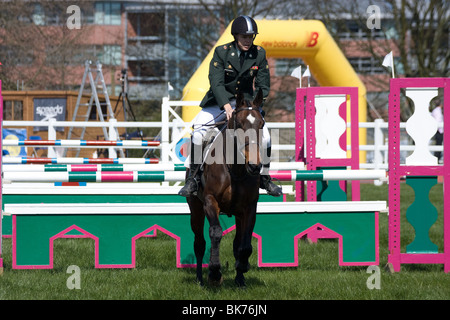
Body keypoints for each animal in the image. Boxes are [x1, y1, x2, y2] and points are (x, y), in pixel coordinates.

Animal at [185, 89, 266, 286]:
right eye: (240, 124)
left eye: (261, 124)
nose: (255, 167)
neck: (235, 168)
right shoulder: (210, 202)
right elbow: (215, 233)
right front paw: (214, 272)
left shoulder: (249, 207)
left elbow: (245, 243)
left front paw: (242, 269)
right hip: (195, 209)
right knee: (199, 243)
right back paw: (200, 278)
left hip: (237, 213)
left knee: (237, 242)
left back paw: (239, 279)